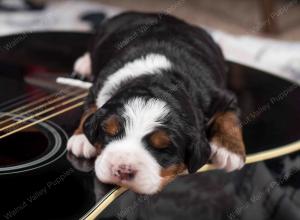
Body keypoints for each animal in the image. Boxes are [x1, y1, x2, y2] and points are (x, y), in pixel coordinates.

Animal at [68, 11, 246, 194]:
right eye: (110, 132)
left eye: (163, 149)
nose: (123, 169)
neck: (159, 80)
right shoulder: (99, 85)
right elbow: (90, 109)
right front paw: (81, 139)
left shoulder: (221, 97)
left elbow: (229, 118)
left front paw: (229, 151)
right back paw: (83, 65)